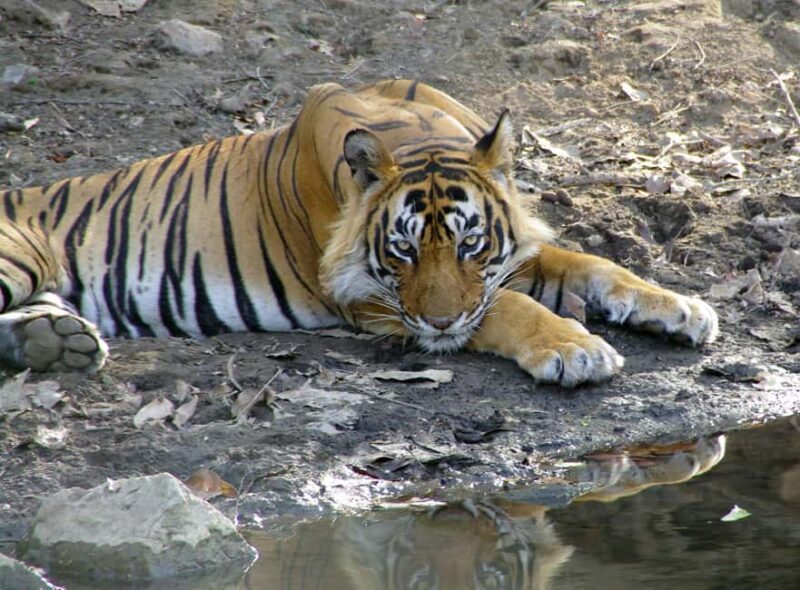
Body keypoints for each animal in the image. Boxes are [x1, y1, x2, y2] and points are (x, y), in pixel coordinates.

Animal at [0, 80, 718, 385]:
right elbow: (506, 309)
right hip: (19, 257)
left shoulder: (508, 260)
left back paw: (55, 342)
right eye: (401, 251)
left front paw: (682, 308)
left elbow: (594, 264)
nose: (437, 325)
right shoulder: (372, 300)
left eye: (470, 244)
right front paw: (575, 349)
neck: (420, 134)